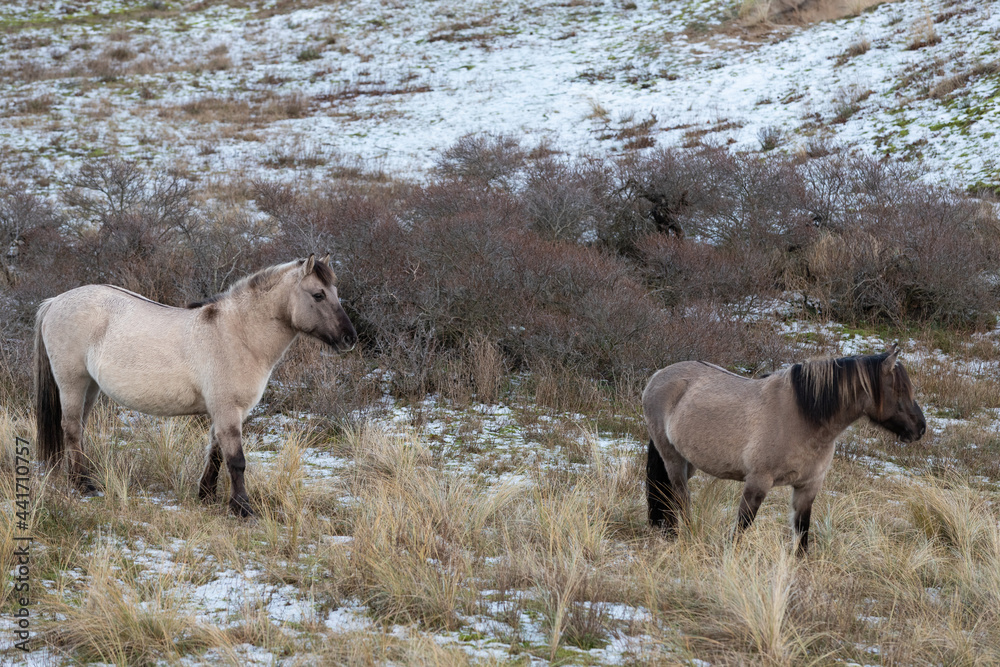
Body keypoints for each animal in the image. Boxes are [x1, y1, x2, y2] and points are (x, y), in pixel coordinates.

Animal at [34, 254, 357, 516]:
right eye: (318, 294)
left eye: (335, 293)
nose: (350, 339)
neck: (237, 334)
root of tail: (54, 302)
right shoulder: (227, 409)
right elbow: (236, 460)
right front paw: (242, 508)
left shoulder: (228, 412)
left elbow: (215, 454)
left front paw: (206, 495)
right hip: (72, 383)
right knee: (71, 429)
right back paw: (84, 485)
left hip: (90, 387)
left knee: (78, 430)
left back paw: (81, 478)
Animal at [642, 344, 925, 555]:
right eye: (898, 389)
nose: (920, 428)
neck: (803, 418)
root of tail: (657, 376)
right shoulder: (758, 482)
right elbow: (742, 526)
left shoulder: (808, 487)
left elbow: (802, 533)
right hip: (672, 458)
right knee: (680, 496)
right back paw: (684, 534)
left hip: (687, 461)